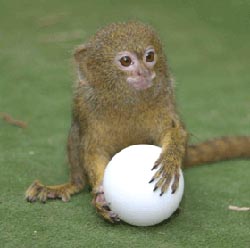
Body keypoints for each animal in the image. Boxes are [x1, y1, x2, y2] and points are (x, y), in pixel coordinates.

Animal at [24, 21, 250, 223]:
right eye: (126, 61)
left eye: (149, 56)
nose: (144, 72)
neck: (126, 101)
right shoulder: (85, 108)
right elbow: (93, 151)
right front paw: (99, 195)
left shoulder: (164, 100)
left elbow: (174, 131)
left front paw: (170, 159)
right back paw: (72, 185)